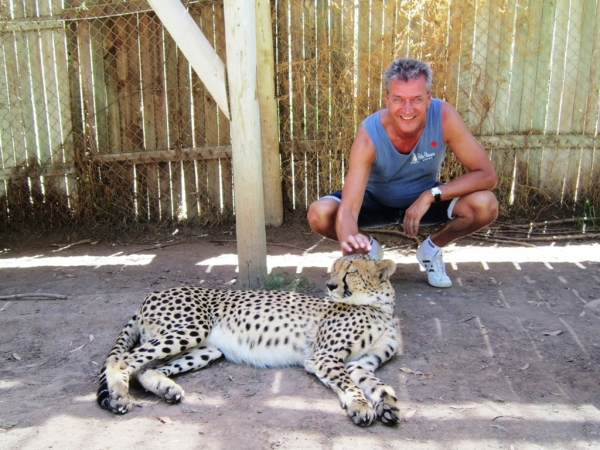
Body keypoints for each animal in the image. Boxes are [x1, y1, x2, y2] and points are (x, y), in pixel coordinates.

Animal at [96, 255, 400, 428]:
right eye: (333, 270)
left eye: (351, 272)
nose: (330, 285)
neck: (381, 308)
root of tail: (152, 294)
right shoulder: (324, 357)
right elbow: (350, 385)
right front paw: (361, 406)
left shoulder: (360, 364)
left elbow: (379, 385)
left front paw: (387, 406)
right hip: (191, 328)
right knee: (122, 359)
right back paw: (120, 395)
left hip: (207, 349)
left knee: (145, 369)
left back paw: (165, 388)